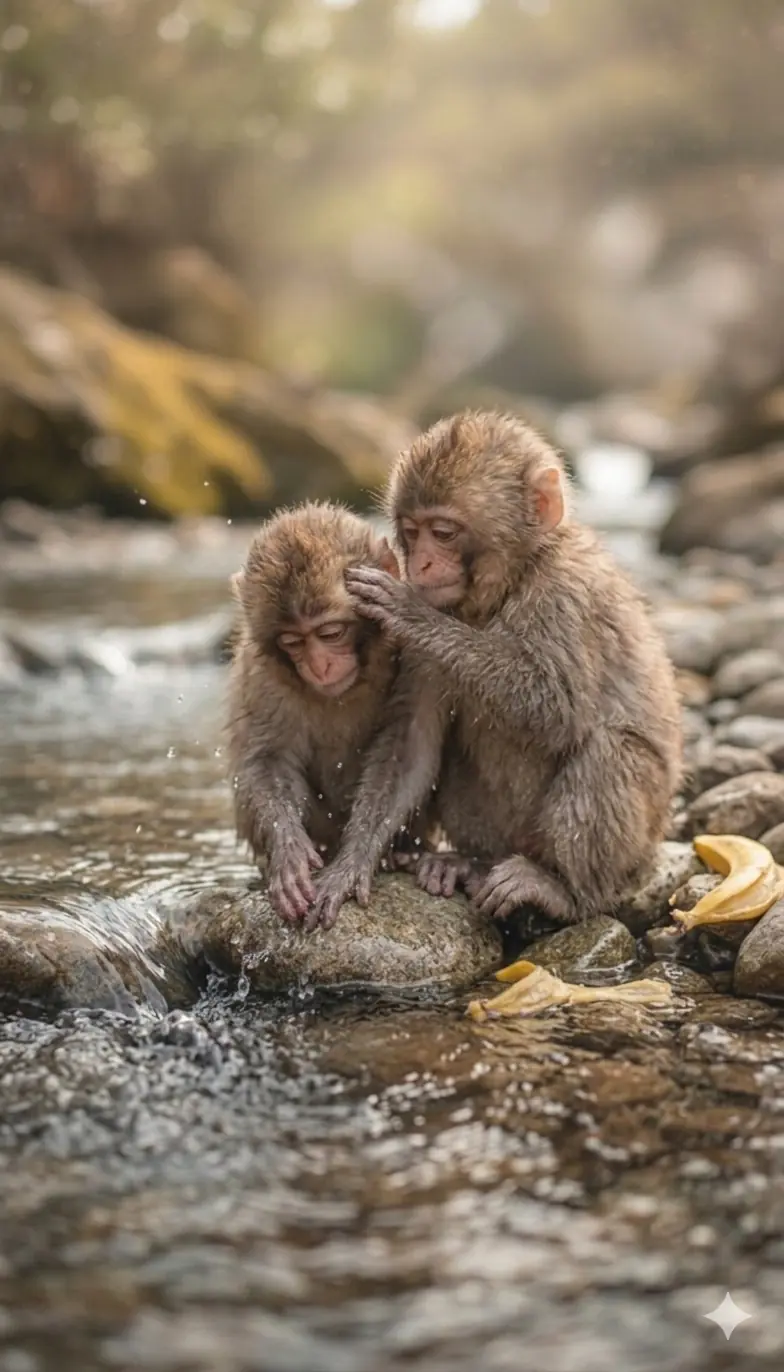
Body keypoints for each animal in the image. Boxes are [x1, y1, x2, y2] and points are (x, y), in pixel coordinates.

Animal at [226, 501, 434, 929]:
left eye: (331, 633)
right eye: (292, 641)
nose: (320, 666)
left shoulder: (414, 647)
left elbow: (405, 747)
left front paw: (352, 863)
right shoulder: (263, 673)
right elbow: (266, 757)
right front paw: (288, 851)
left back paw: (404, 854)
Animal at [308, 411, 683, 929]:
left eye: (444, 532)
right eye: (411, 530)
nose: (420, 564)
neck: (513, 582)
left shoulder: (564, 596)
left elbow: (557, 710)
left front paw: (411, 613)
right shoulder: (419, 655)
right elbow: (411, 741)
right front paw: (351, 862)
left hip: (637, 848)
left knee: (612, 750)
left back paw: (564, 890)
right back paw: (469, 862)